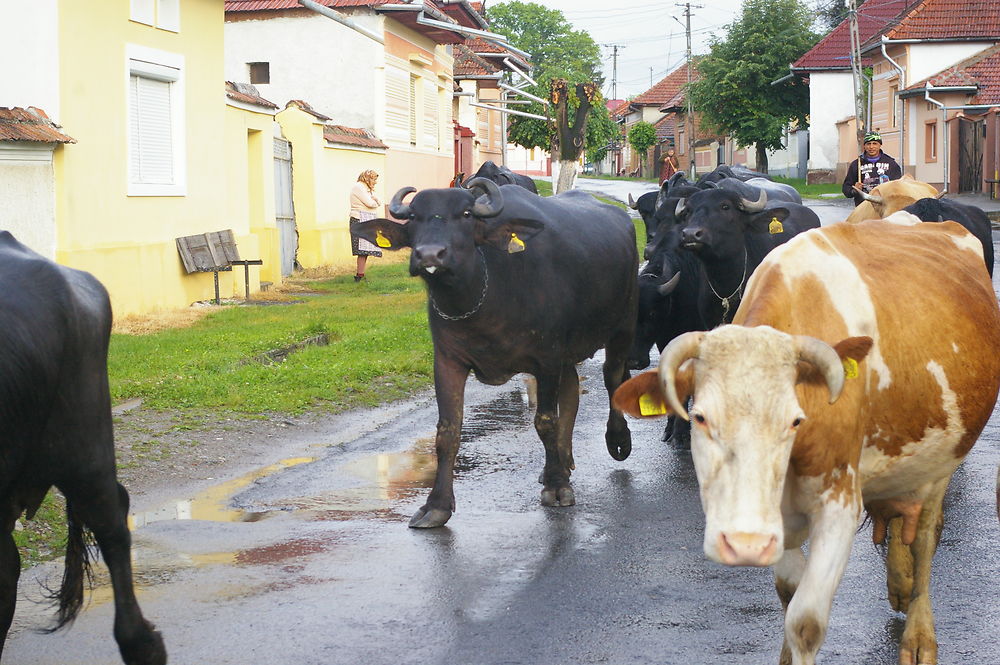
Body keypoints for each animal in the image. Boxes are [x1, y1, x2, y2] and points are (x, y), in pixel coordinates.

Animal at [352, 179, 636, 528]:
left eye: (464, 214)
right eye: (415, 217)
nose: (430, 254)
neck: (484, 296)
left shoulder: (547, 358)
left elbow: (545, 421)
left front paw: (557, 489)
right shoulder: (447, 361)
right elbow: (448, 431)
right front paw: (436, 505)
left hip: (623, 325)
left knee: (613, 377)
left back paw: (616, 440)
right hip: (568, 353)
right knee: (572, 391)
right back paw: (561, 462)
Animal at [612, 217, 996, 664]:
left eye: (795, 420)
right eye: (700, 417)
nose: (742, 542)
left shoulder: (840, 505)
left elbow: (806, 620)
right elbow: (788, 592)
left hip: (943, 463)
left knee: (925, 539)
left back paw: (919, 635)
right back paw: (898, 583)